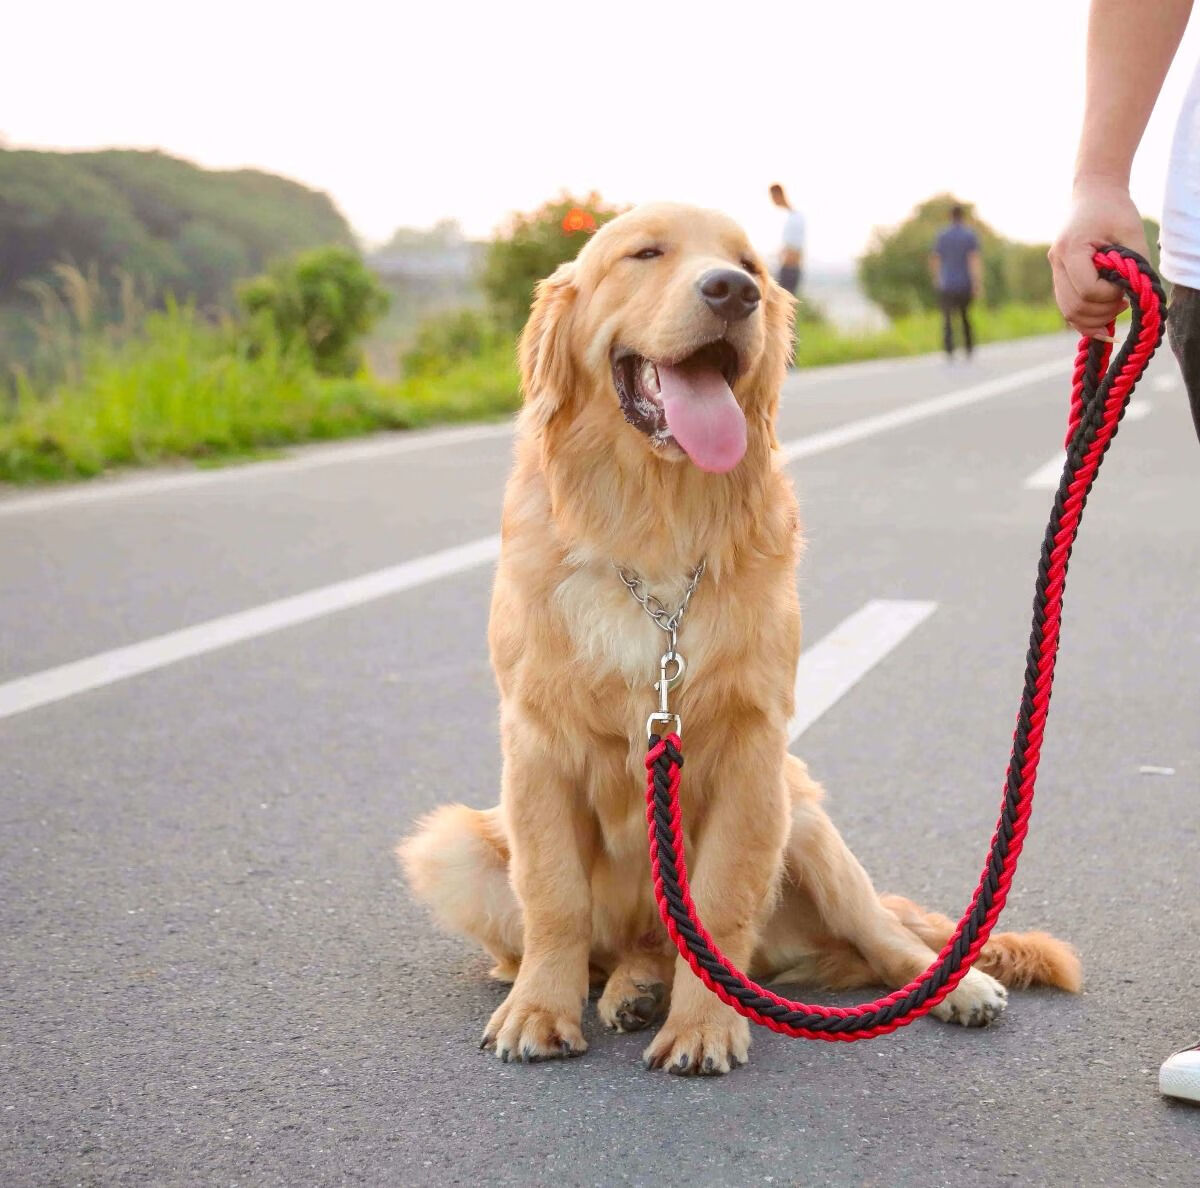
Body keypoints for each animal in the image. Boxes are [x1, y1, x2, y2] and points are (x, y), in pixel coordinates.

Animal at [400, 200, 1080, 1075]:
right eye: (644, 253)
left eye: (753, 266)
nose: (732, 292)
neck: (657, 525)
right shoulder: (538, 744)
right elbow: (554, 895)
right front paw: (541, 1012)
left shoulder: (752, 746)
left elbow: (720, 908)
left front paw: (703, 1027)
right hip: (456, 846)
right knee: (607, 944)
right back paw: (626, 988)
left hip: (806, 819)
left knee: (887, 934)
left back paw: (954, 988)